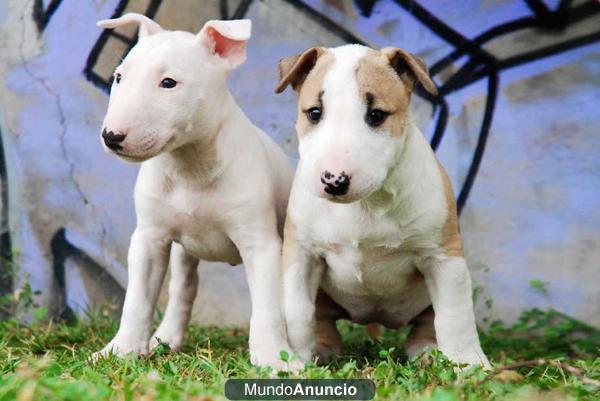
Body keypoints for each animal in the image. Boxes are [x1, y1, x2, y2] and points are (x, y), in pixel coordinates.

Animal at [92, 13, 296, 368]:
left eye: (169, 83)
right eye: (118, 77)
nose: (111, 137)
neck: (189, 167)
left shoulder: (261, 243)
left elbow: (268, 307)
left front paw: (275, 359)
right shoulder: (149, 238)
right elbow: (137, 300)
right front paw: (120, 350)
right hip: (183, 251)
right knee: (184, 287)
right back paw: (165, 338)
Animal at [276, 43, 492, 366]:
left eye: (376, 115)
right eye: (314, 113)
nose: (334, 179)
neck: (366, 203)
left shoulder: (443, 256)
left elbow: (455, 316)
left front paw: (468, 364)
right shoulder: (301, 253)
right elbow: (298, 311)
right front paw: (294, 359)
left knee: (429, 323)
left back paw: (427, 351)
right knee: (323, 322)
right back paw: (321, 349)